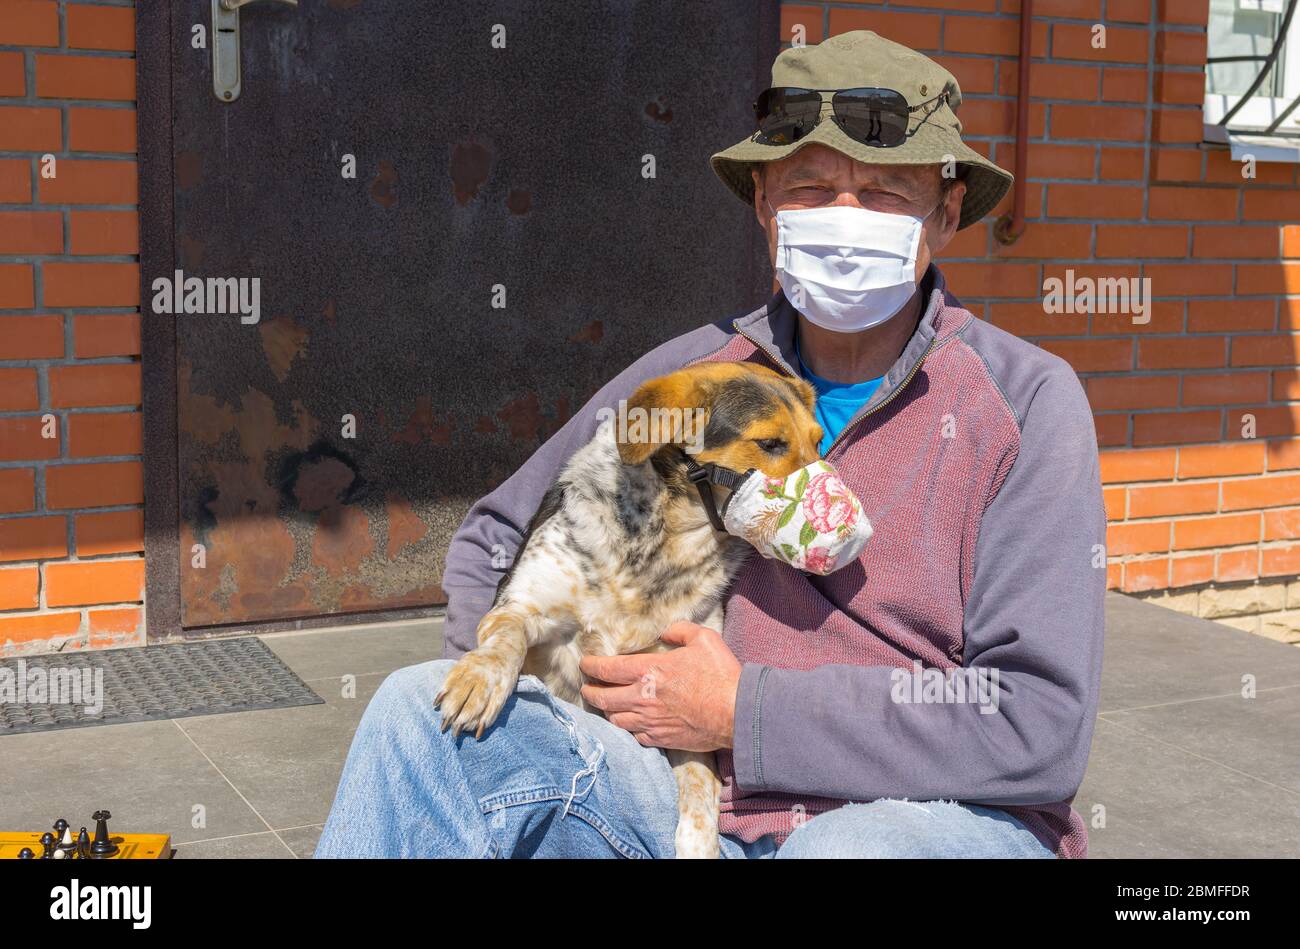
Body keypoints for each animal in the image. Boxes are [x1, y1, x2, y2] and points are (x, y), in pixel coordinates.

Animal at [436, 358, 821, 852]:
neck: (662, 545)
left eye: (818, 441)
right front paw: (478, 681)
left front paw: (699, 847)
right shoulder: (522, 605)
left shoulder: (682, 708)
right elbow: (506, 637)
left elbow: (700, 791)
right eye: (770, 443)